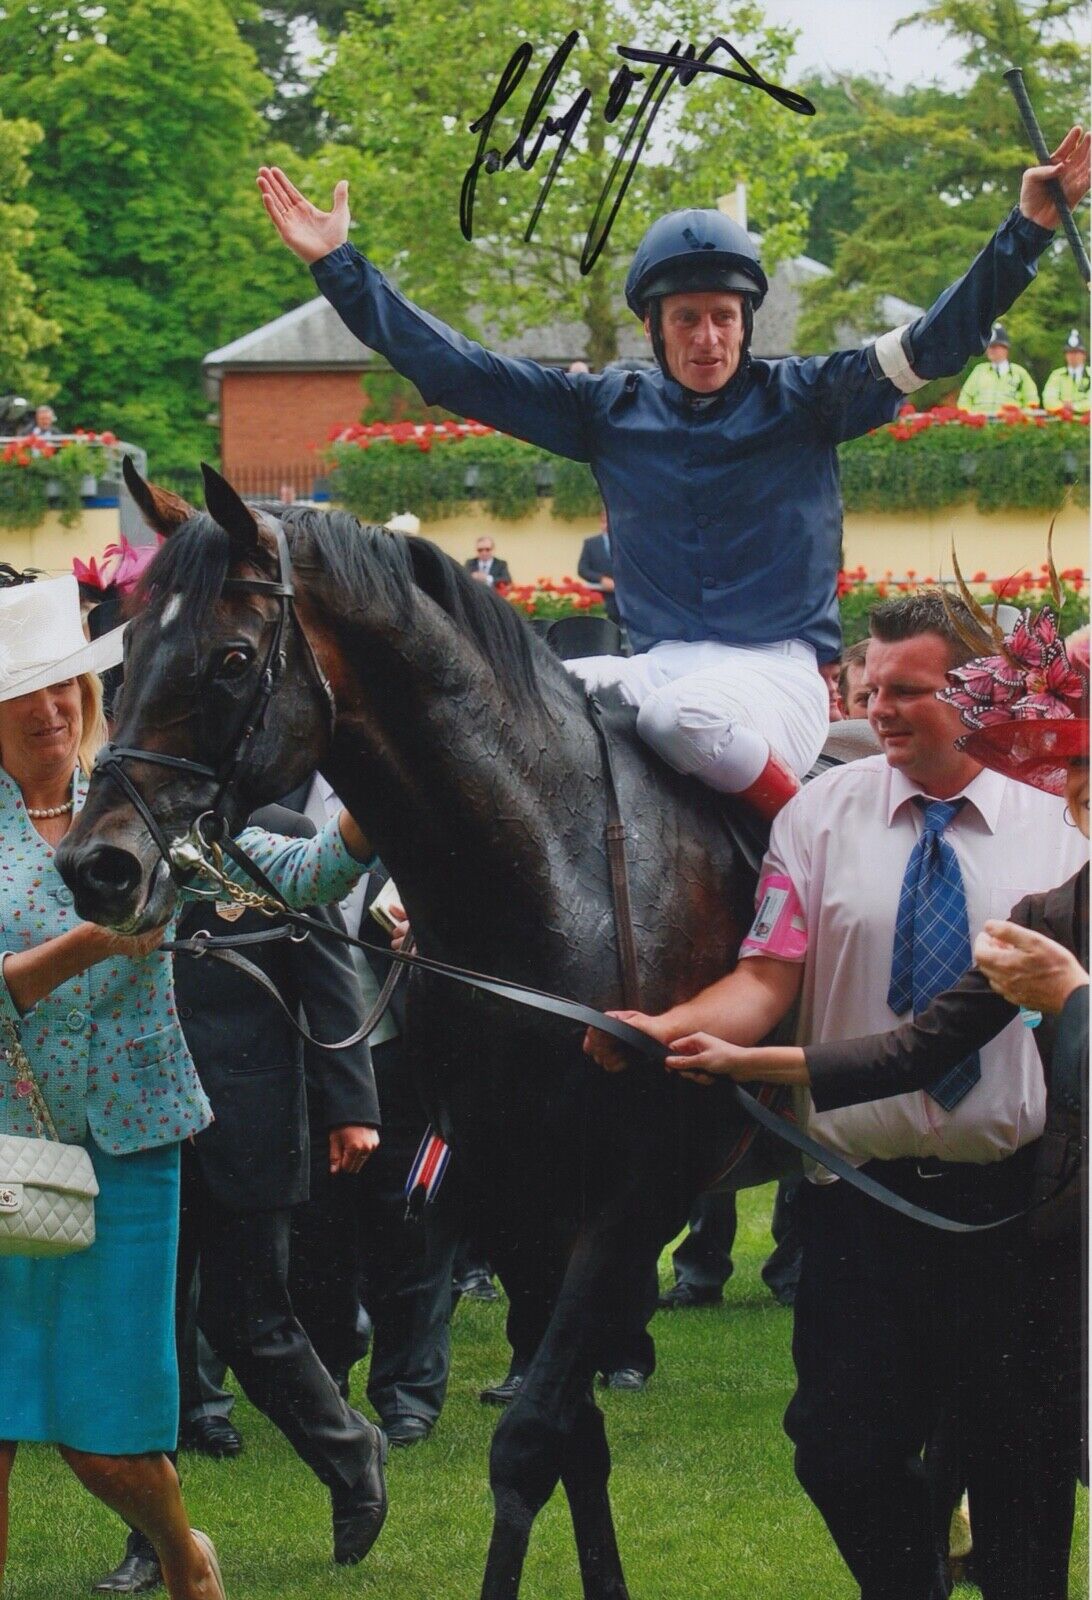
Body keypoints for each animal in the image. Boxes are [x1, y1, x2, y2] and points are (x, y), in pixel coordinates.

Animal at [59, 467, 787, 1600]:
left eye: (232, 660)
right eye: (125, 652)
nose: (98, 866)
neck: (564, 879)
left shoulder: (635, 1194)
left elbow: (529, 1442)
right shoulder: (518, 1186)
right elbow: (572, 1442)